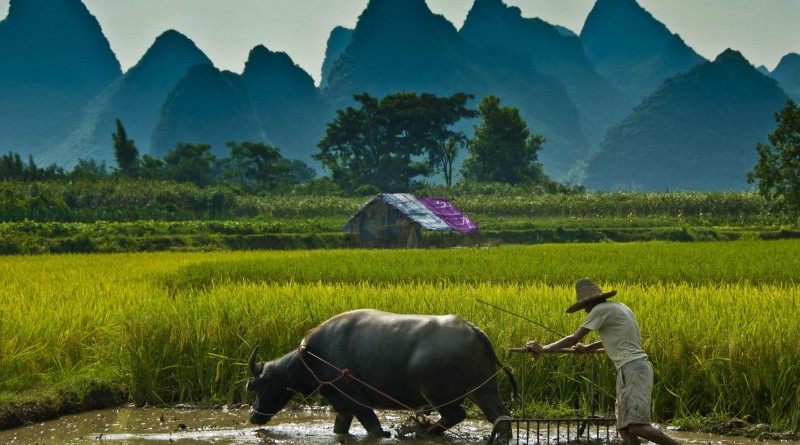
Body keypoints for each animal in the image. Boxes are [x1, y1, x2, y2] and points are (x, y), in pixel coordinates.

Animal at [247, 308, 516, 438]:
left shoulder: (355, 397)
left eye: (261, 386)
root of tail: (473, 329)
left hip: (438, 394)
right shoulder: (340, 404)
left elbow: (374, 426)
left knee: (456, 414)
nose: (253, 417)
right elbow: (340, 428)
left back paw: (425, 432)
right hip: (483, 388)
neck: (312, 357)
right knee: (500, 417)